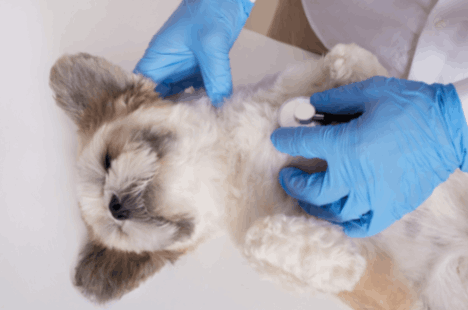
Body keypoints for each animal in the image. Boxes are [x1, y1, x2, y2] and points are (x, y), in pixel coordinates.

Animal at [49, 43, 468, 310]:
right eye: (115, 227)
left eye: (107, 161)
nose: (114, 205)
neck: (229, 160)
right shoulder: (393, 293)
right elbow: (265, 240)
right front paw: (340, 261)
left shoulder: (294, 95)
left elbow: (356, 68)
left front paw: (345, 69)